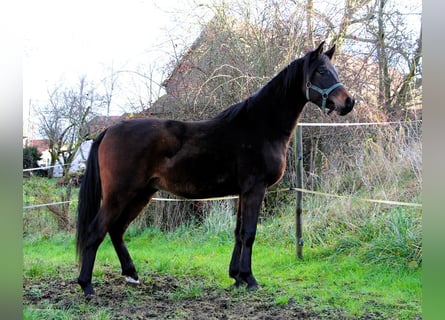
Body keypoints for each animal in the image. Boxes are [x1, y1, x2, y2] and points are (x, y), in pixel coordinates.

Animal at [75, 41, 354, 296]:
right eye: (321, 71)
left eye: (335, 70)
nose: (348, 102)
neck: (261, 126)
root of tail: (110, 130)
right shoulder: (255, 189)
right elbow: (250, 232)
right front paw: (250, 279)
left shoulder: (243, 192)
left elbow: (239, 232)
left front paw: (237, 277)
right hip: (120, 194)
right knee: (96, 231)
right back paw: (87, 286)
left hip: (142, 193)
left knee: (116, 229)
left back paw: (131, 274)